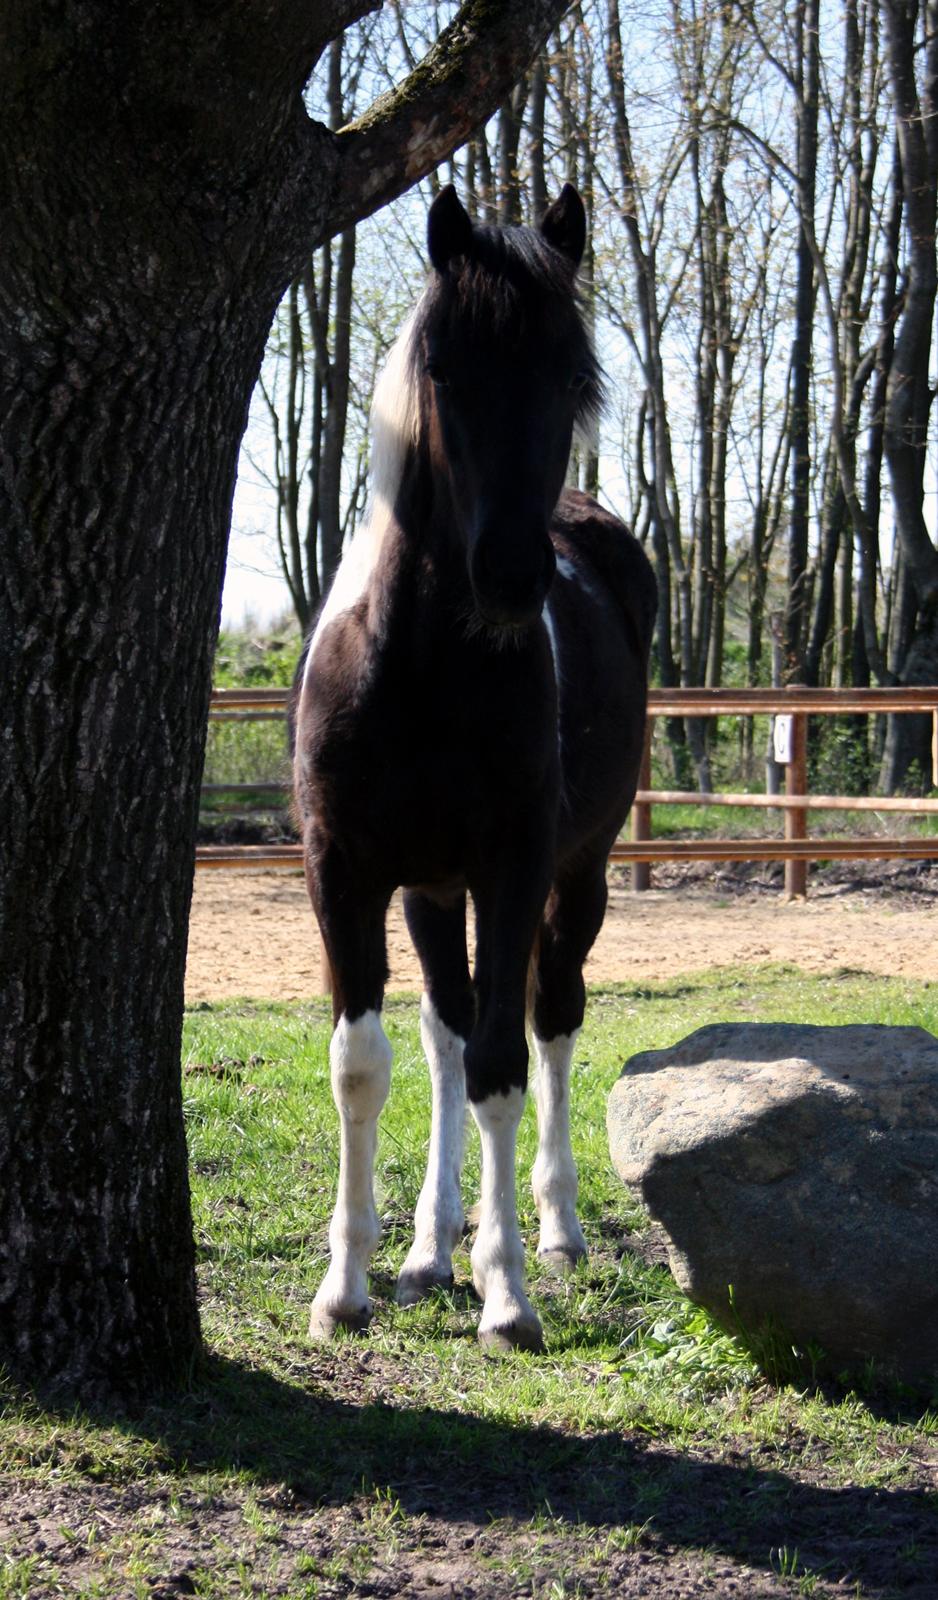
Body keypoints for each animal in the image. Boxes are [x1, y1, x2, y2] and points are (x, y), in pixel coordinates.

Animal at [289, 184, 649, 1350]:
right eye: (443, 368)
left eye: (571, 375)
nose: (509, 576)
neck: (421, 665)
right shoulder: (347, 869)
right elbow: (364, 1065)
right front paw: (347, 1284)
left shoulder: (513, 864)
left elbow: (502, 1065)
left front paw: (506, 1295)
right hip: (430, 892)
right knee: (443, 1032)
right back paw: (424, 1249)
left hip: (575, 878)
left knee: (549, 1021)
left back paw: (553, 1229)